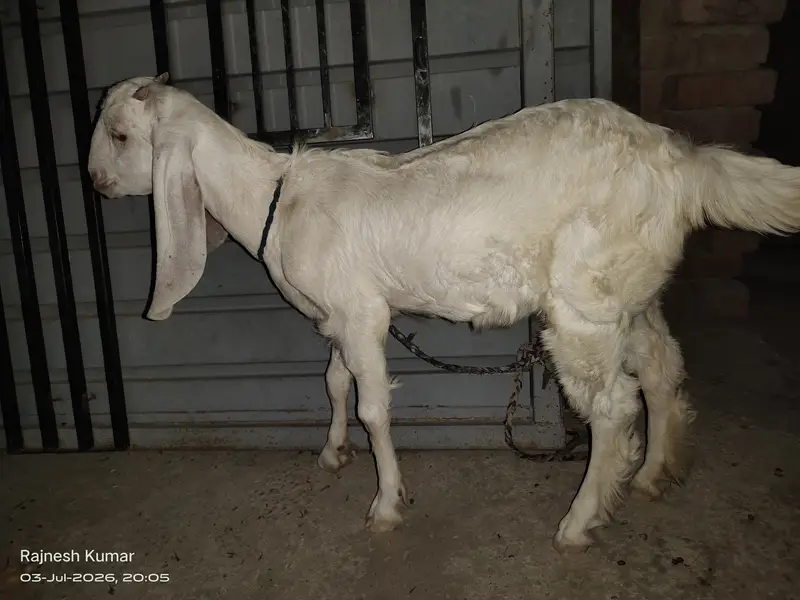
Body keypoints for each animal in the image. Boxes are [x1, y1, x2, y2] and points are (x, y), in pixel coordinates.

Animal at [87, 73, 800, 553]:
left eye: (120, 135)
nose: (94, 182)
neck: (275, 197)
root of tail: (681, 161)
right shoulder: (338, 313)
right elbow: (334, 381)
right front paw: (333, 453)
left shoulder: (360, 313)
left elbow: (374, 407)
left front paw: (386, 504)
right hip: (630, 291)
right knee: (659, 368)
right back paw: (654, 473)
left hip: (583, 303)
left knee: (613, 405)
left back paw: (580, 521)